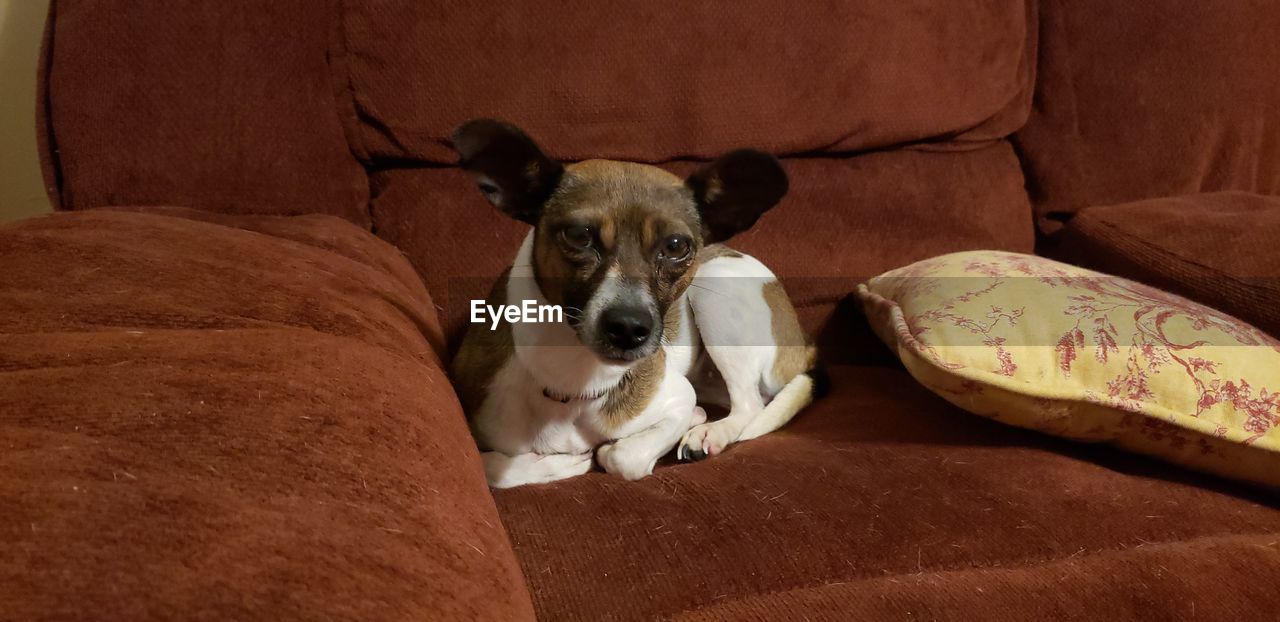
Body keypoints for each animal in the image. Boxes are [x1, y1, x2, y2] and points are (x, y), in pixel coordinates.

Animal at [450, 120, 829, 491]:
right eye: (577, 235)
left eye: (676, 245)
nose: (629, 328)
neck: (575, 382)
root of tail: (804, 342)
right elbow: (492, 468)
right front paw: (560, 463)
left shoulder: (677, 396)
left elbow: (621, 457)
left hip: (717, 290)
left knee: (749, 405)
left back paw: (709, 432)